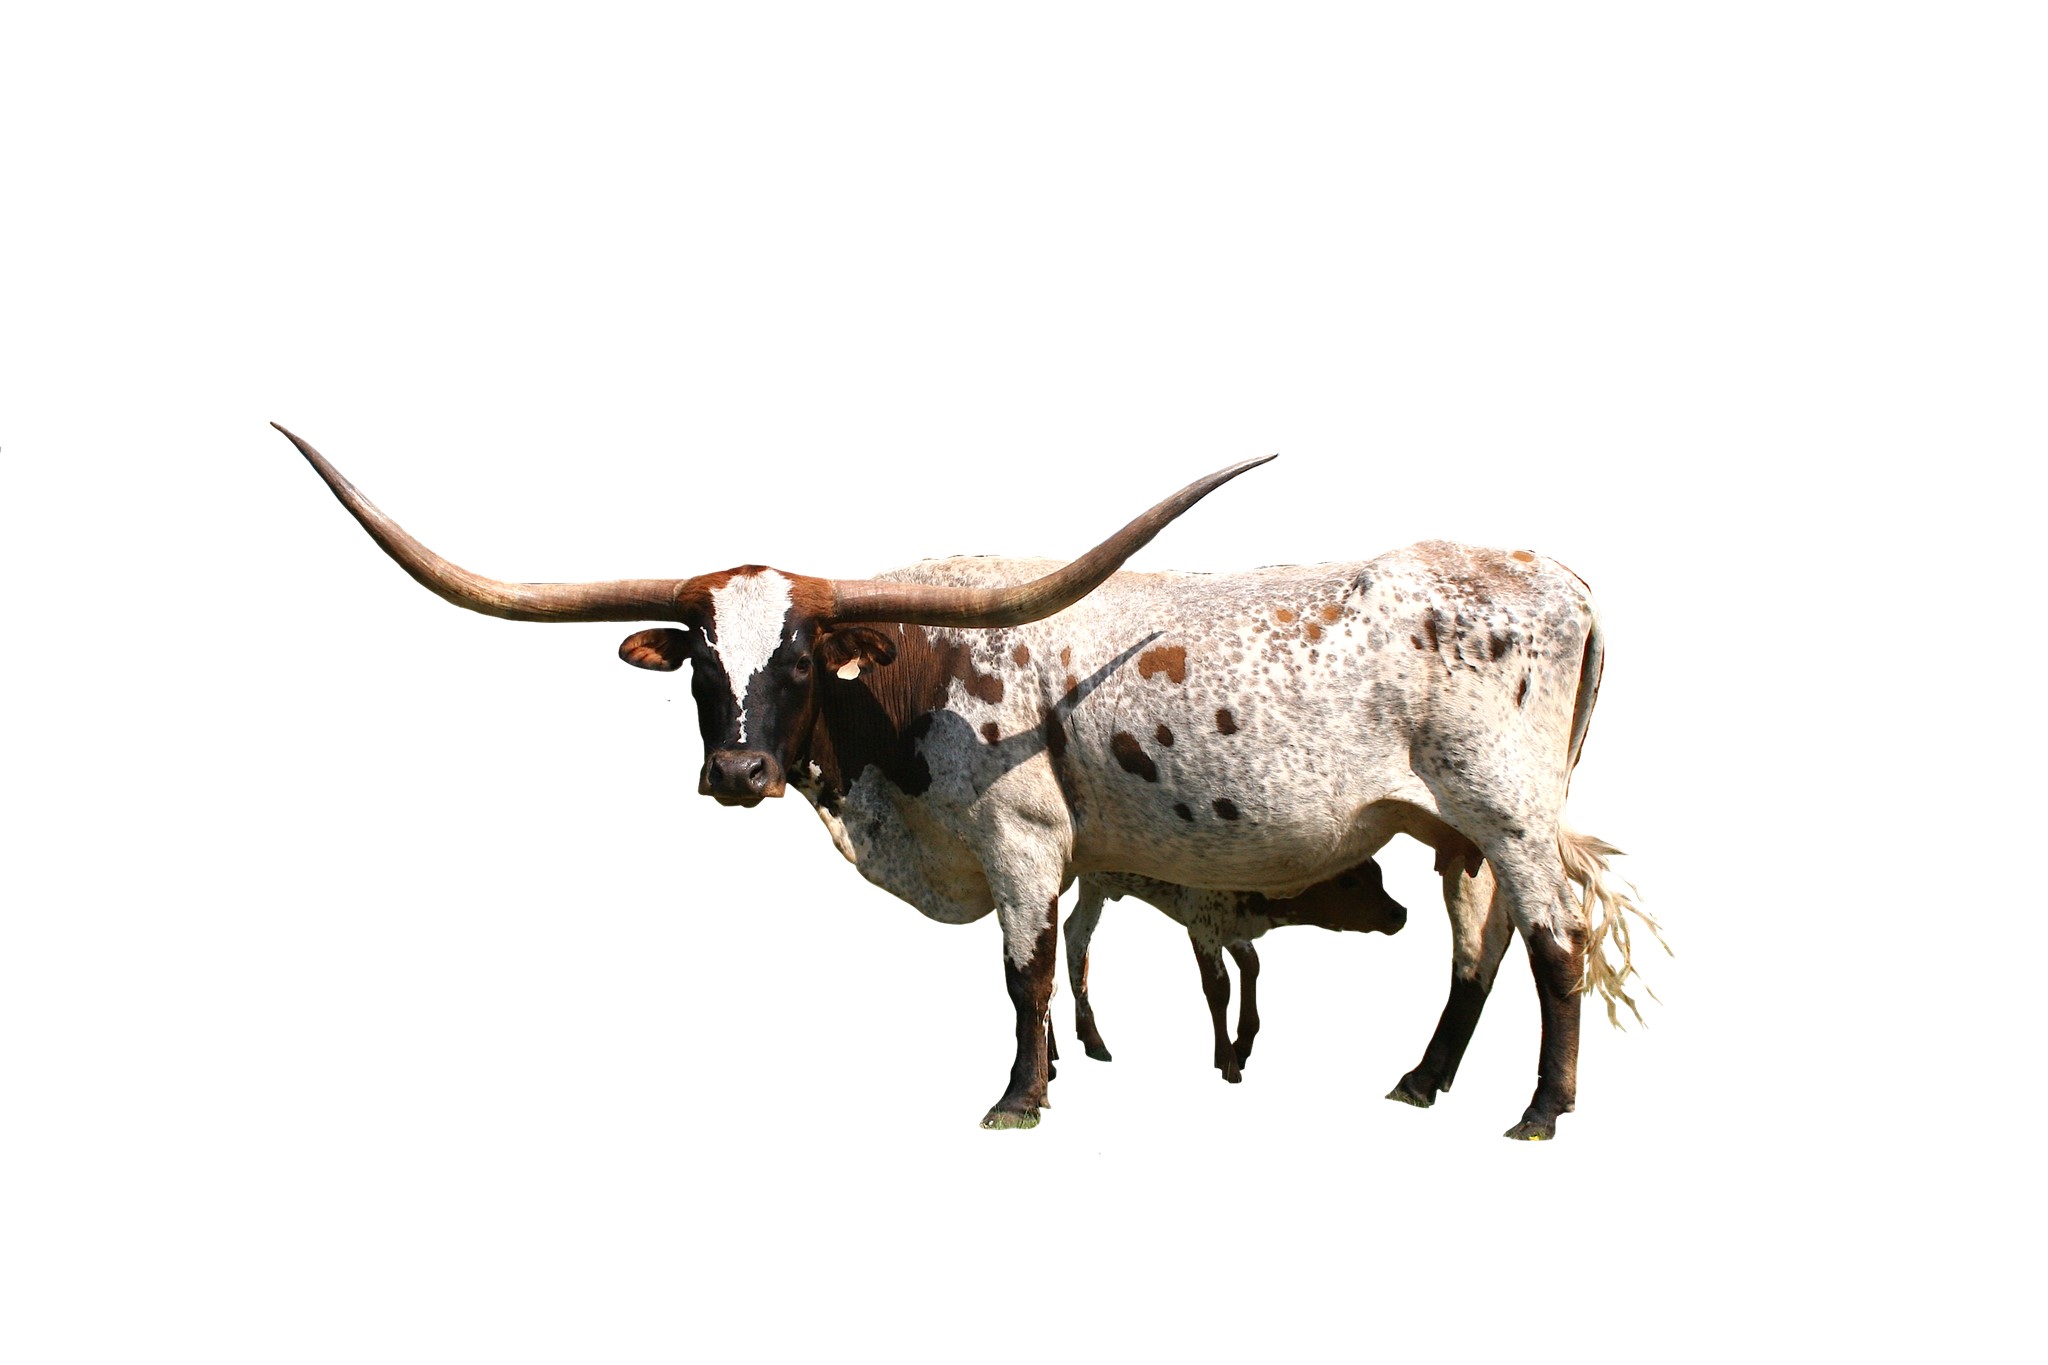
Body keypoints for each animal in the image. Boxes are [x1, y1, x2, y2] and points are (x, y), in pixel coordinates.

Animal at [1063, 860, 1408, 1083]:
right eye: (1348, 881)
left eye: (1378, 873)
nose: (1399, 913)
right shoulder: (1202, 925)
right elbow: (1219, 988)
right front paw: (1227, 1060)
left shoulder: (1234, 929)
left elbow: (1251, 965)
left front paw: (1243, 1043)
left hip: (1093, 886)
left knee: (1075, 939)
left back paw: (1089, 1038)